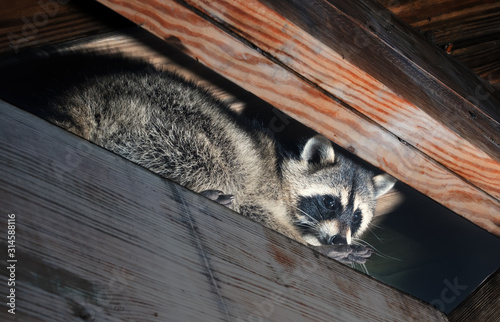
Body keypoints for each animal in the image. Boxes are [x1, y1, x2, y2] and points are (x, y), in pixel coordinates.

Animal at [1, 51, 396, 262]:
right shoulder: (261, 187)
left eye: (357, 216)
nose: (339, 240)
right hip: (167, 120)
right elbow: (254, 208)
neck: (282, 171)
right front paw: (311, 243)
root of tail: (91, 91)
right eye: (329, 202)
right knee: (212, 157)